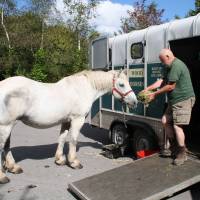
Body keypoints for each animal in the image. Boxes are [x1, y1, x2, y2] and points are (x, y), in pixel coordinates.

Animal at [0, 69, 138, 184]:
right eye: (122, 84)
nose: (134, 102)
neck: (83, 88)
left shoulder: (65, 121)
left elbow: (62, 138)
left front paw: (60, 160)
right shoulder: (78, 119)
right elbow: (73, 139)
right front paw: (74, 162)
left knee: (6, 146)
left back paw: (13, 167)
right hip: (6, 126)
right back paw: (3, 177)